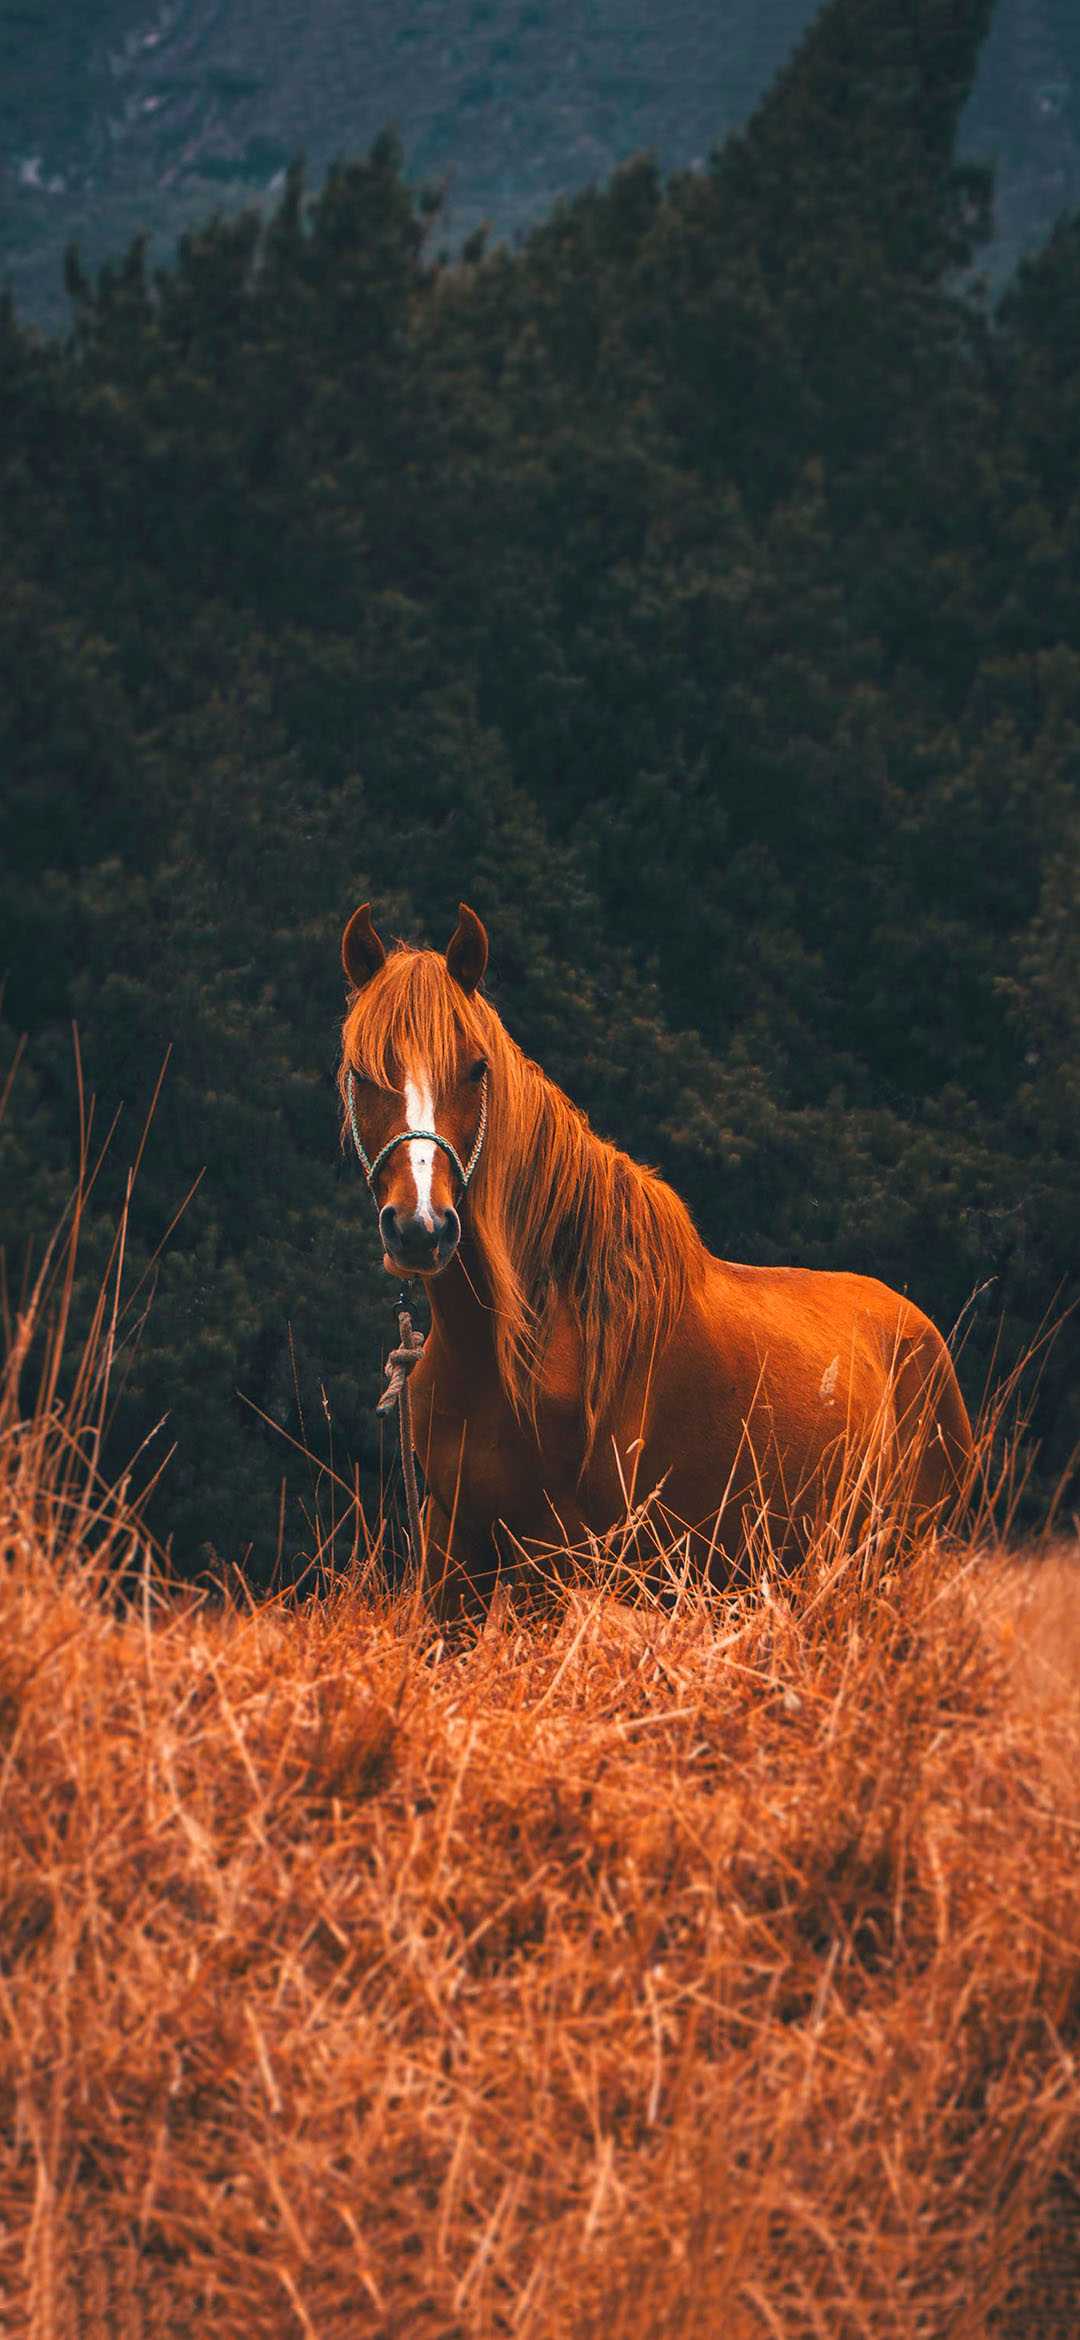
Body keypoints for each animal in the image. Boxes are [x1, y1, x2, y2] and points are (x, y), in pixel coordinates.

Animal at [341, 903, 972, 1619]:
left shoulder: (547, 1565)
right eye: (360, 1073)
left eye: (476, 1068)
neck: (526, 1341)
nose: (420, 1228)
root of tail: (925, 1336)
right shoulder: (453, 1556)